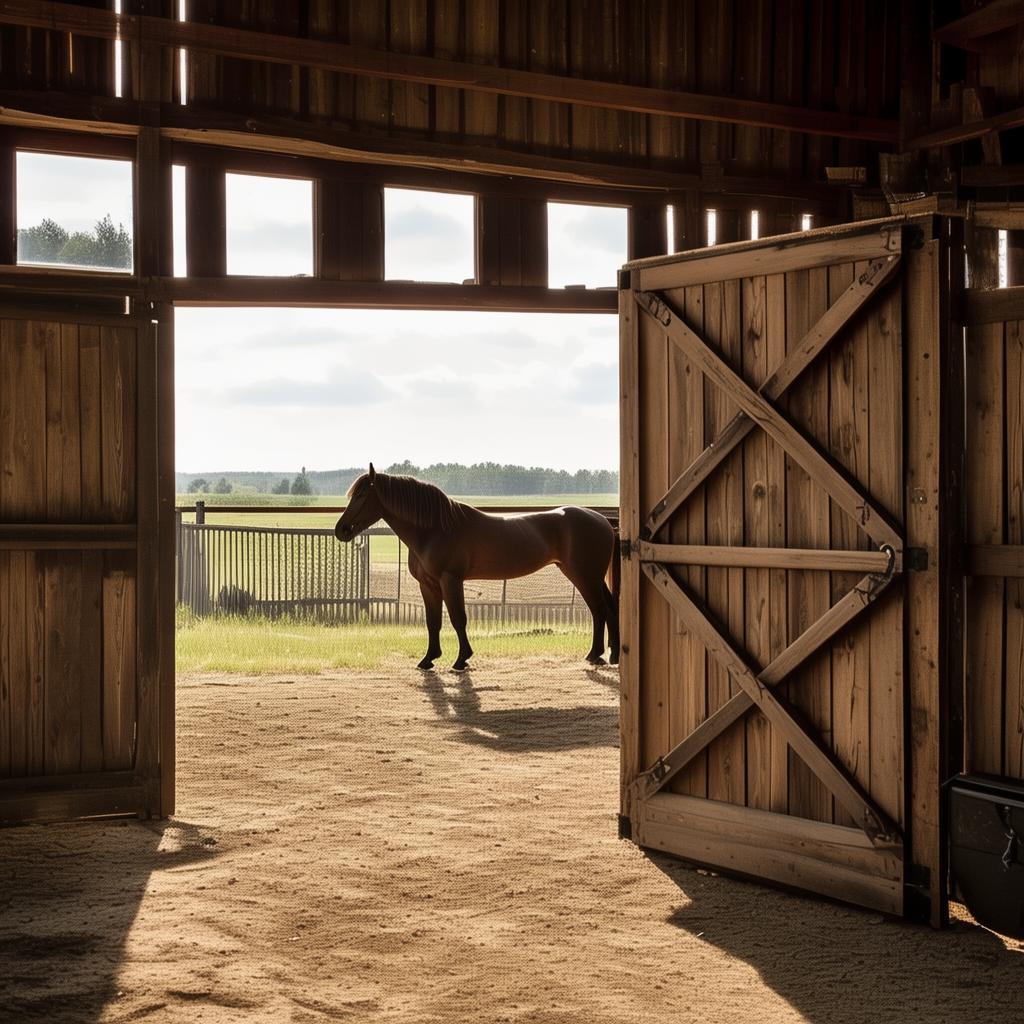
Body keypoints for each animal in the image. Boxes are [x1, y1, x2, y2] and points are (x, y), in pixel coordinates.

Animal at [334, 465, 619, 671]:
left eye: (362, 495)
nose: (341, 530)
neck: (434, 530)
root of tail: (603, 520)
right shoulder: (428, 585)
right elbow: (433, 621)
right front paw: (428, 659)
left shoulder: (450, 580)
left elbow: (458, 618)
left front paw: (461, 660)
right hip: (583, 575)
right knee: (605, 608)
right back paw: (607, 655)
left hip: (585, 575)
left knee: (600, 609)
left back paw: (597, 655)